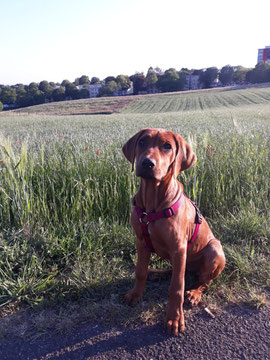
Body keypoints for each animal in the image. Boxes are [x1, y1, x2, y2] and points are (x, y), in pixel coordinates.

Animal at [122, 129, 226, 334]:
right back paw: (156, 272)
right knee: (175, 272)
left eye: (167, 146)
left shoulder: (179, 248)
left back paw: (194, 294)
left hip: (214, 249)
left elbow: (176, 286)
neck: (152, 204)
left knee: (204, 281)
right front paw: (135, 294)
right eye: (142, 142)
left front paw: (174, 318)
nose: (147, 163)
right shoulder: (141, 241)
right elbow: (140, 271)